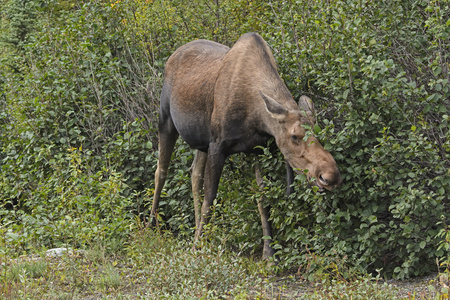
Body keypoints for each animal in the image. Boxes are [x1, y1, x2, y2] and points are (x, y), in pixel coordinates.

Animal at [151, 32, 342, 258]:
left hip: (201, 142)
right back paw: (151, 225)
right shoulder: (217, 146)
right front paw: (198, 246)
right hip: (166, 120)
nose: (329, 176)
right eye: (294, 136)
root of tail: (172, 56)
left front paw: (269, 253)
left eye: (318, 132)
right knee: (161, 171)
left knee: (194, 173)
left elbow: (262, 199)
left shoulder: (258, 148)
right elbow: (210, 198)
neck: (256, 117)